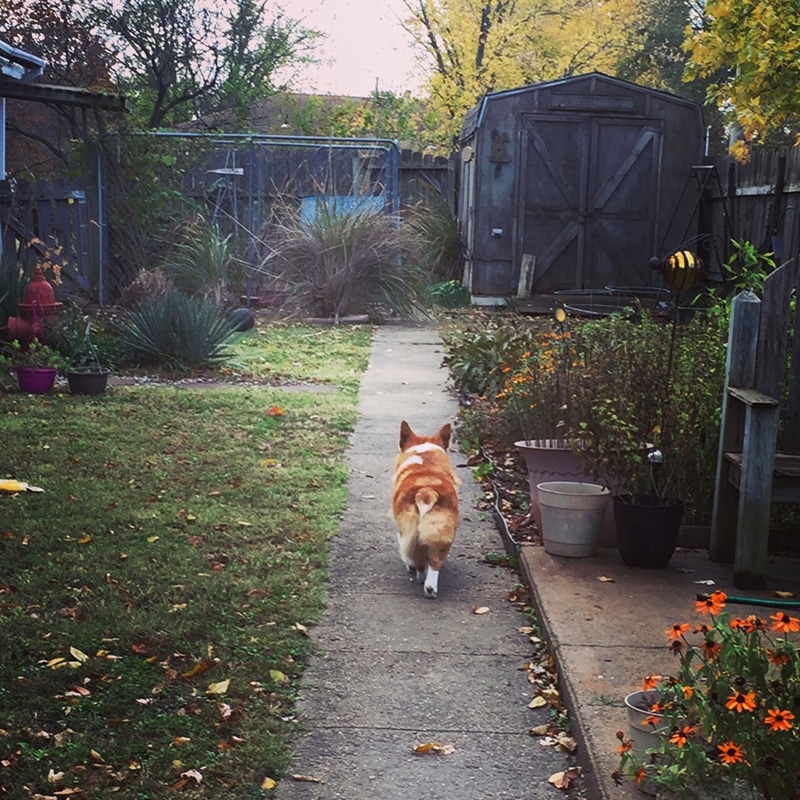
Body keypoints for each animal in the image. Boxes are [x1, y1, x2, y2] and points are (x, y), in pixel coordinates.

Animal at [390, 422, 460, 596]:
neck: (424, 454)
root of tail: (427, 492)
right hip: (441, 531)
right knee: (435, 562)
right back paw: (430, 587)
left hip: (414, 533)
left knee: (418, 559)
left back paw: (419, 576)